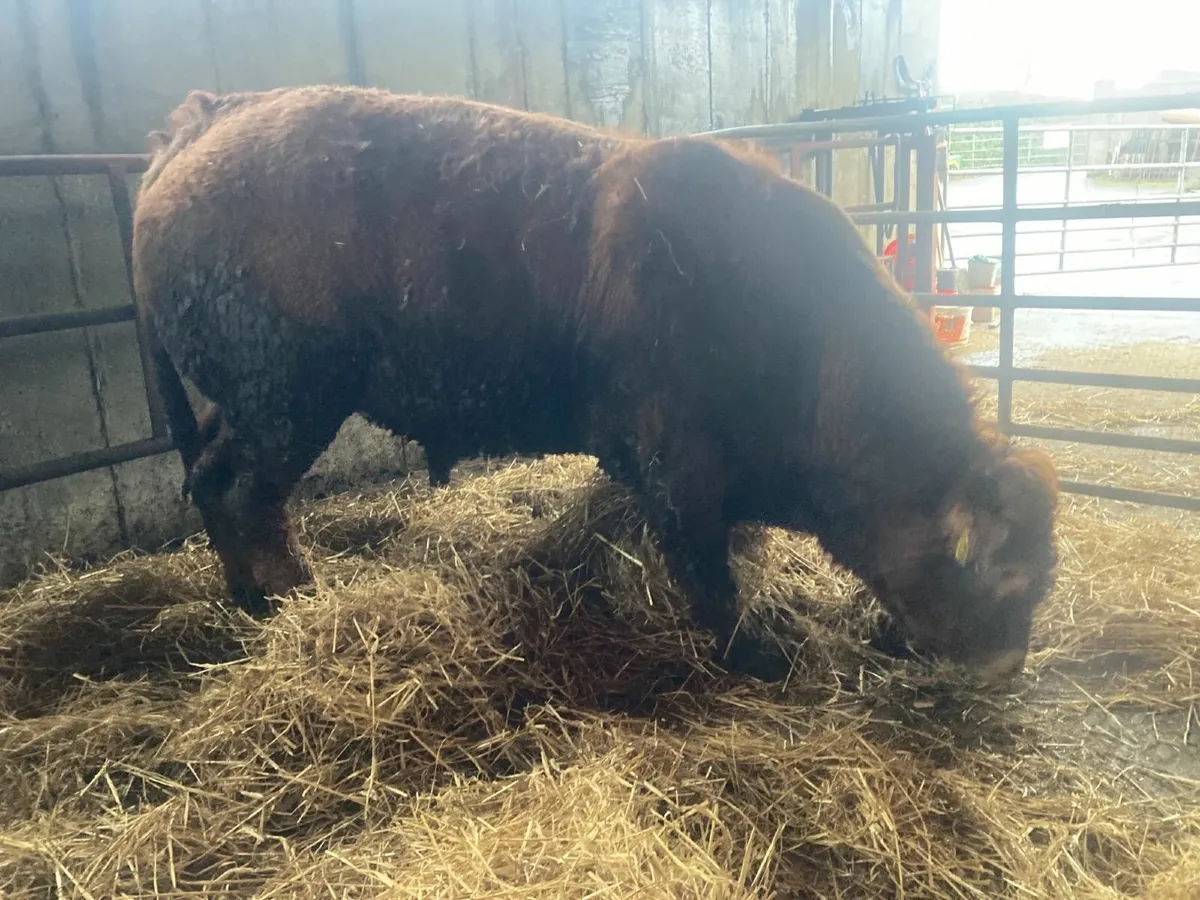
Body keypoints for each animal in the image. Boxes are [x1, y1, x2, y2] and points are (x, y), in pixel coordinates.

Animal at [133, 86, 1059, 684]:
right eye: (1004, 573)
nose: (1005, 669)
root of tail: (206, 121)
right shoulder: (680, 470)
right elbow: (709, 574)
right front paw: (756, 655)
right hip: (287, 401)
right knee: (244, 494)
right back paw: (288, 596)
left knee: (214, 482)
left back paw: (248, 597)